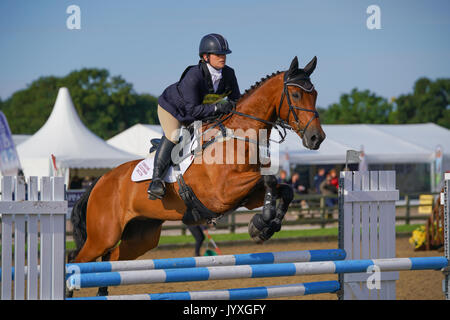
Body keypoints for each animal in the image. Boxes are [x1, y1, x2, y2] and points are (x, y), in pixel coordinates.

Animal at [68, 55, 326, 296]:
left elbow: (285, 189)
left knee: (109, 260)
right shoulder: (223, 193)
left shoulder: (247, 195)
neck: (239, 137)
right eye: (295, 95)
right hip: (103, 235)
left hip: (141, 236)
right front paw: (261, 224)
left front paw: (267, 225)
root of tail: (100, 181)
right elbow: (270, 179)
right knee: (75, 259)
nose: (317, 138)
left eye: (315, 95)